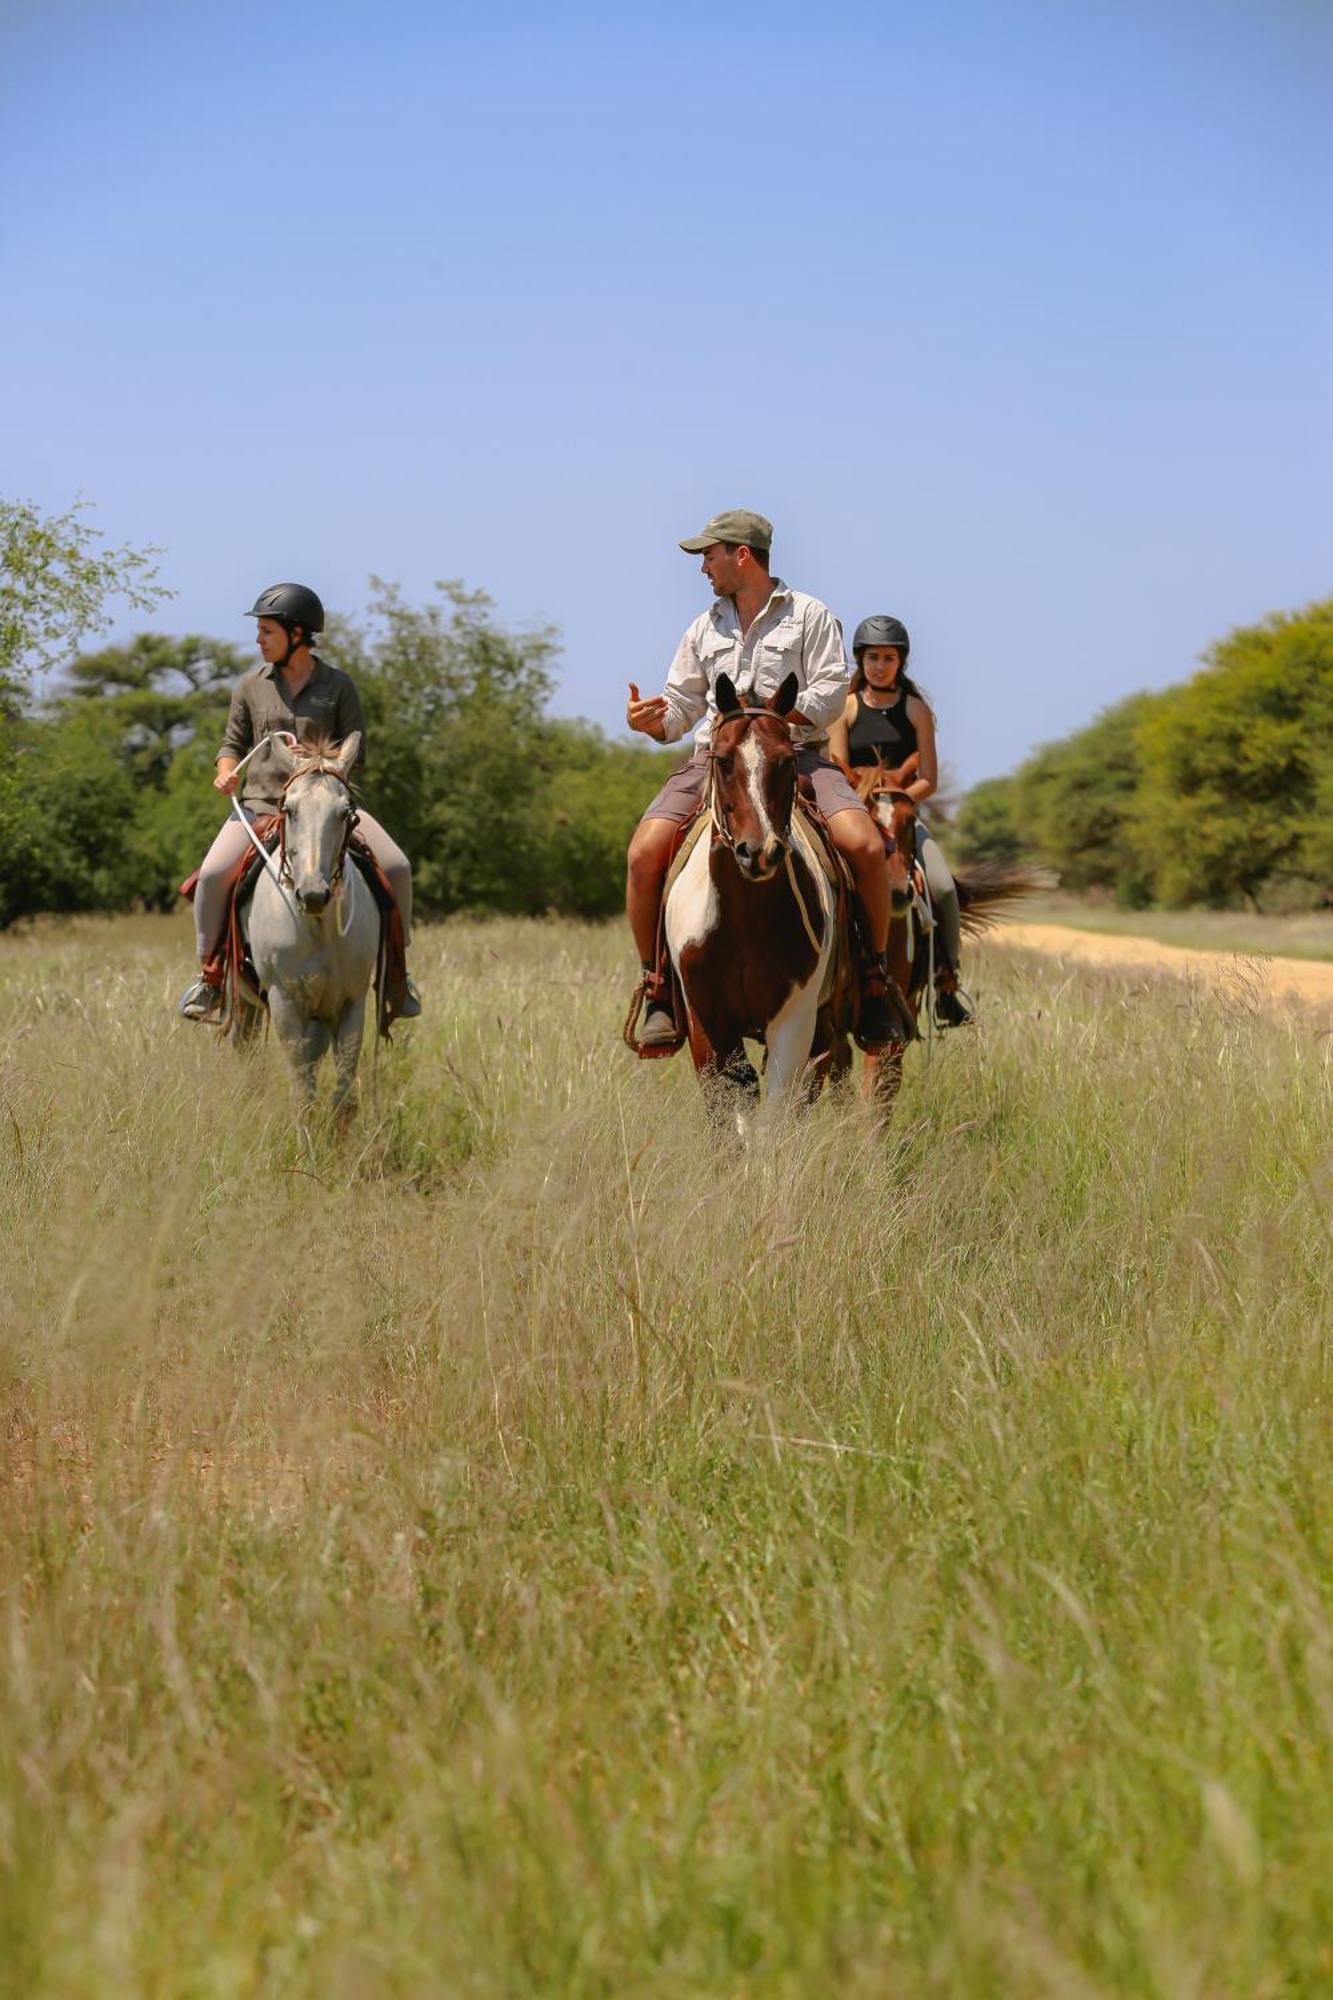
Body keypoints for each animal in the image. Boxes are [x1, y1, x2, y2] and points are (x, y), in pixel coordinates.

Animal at [243, 736, 376, 1112]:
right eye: (288, 809)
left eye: (346, 813)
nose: (313, 894)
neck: (318, 927)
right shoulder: (285, 1004)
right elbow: (302, 1091)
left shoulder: (352, 1003)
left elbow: (343, 1094)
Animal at [664, 672, 840, 1136]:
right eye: (723, 760)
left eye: (787, 761)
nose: (758, 852)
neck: (743, 920)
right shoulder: (707, 1023)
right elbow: (730, 1122)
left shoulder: (794, 1023)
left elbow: (772, 1124)